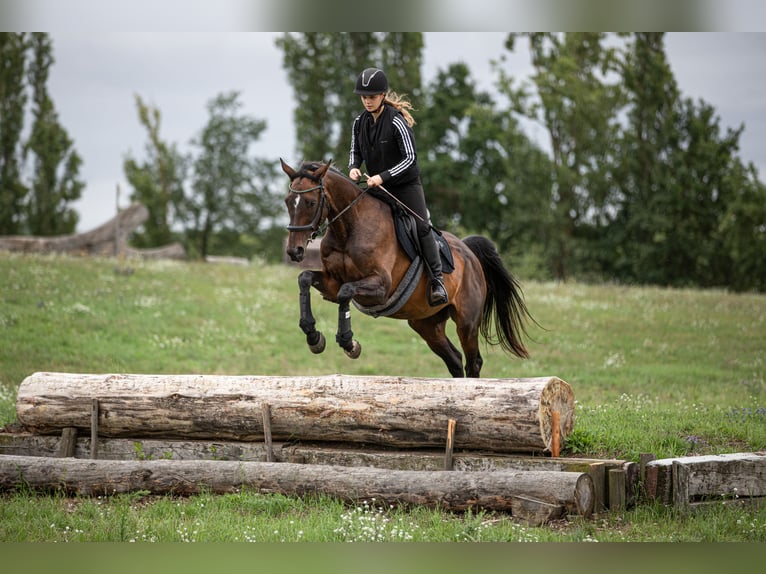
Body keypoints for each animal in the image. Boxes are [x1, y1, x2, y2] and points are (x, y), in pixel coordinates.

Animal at [280, 159, 534, 378]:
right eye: (287, 201)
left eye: (311, 202)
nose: (294, 251)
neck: (349, 229)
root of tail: (469, 254)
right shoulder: (332, 284)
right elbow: (305, 278)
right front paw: (313, 336)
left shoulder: (381, 287)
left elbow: (346, 292)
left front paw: (349, 343)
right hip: (426, 323)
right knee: (454, 359)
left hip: (467, 322)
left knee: (474, 362)